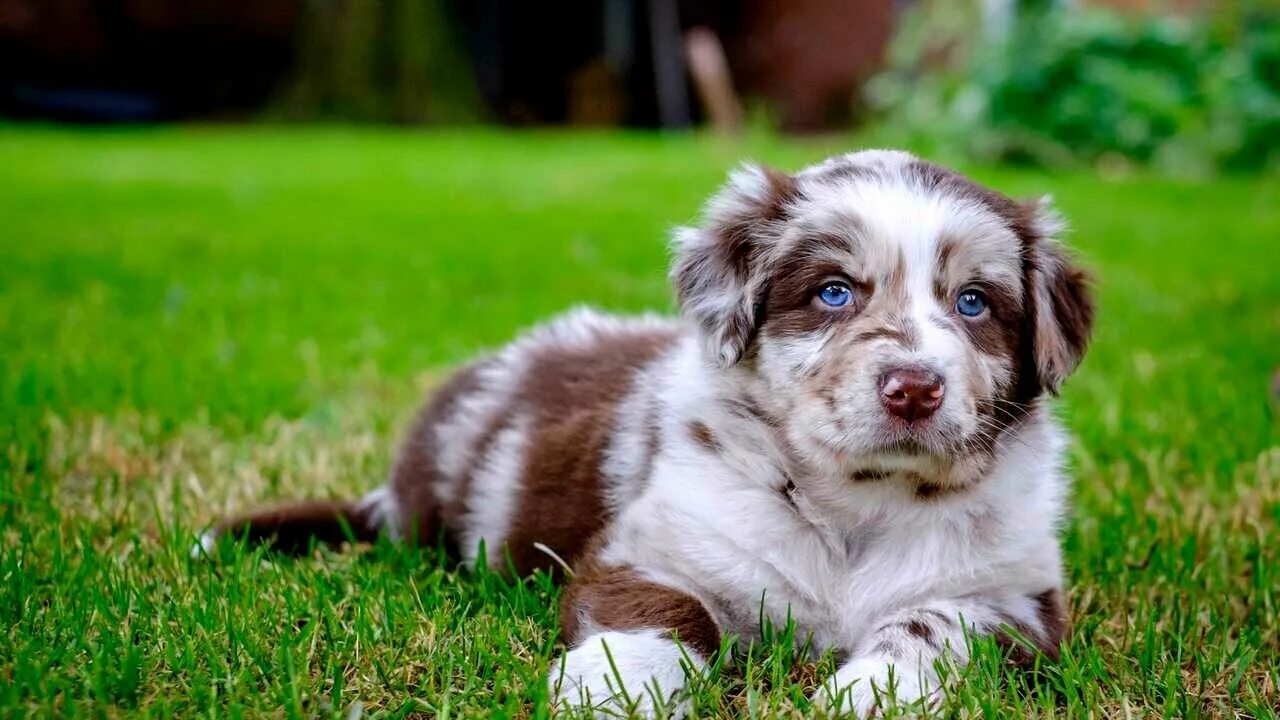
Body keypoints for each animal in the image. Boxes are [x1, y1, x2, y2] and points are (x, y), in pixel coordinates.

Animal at [199, 149, 1090, 712]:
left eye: (973, 303)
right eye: (834, 292)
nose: (914, 389)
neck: (855, 507)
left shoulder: (1017, 599)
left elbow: (935, 624)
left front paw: (875, 693)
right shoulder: (654, 548)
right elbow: (663, 617)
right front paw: (610, 691)